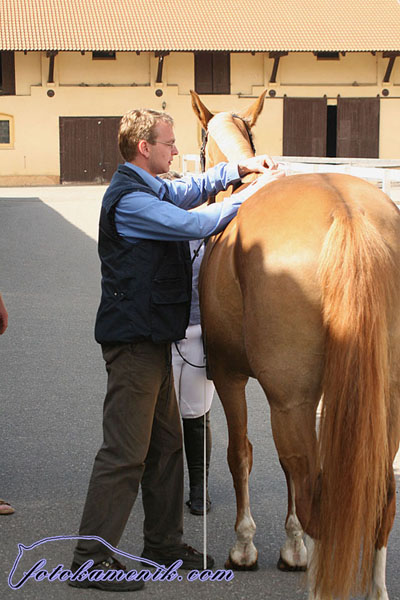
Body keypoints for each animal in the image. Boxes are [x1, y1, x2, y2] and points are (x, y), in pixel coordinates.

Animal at [190, 89, 400, 600]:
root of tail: (348, 213)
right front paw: (292, 546)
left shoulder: (229, 375)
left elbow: (241, 453)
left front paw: (246, 547)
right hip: (386, 401)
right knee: (379, 497)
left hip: (290, 402)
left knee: (316, 497)